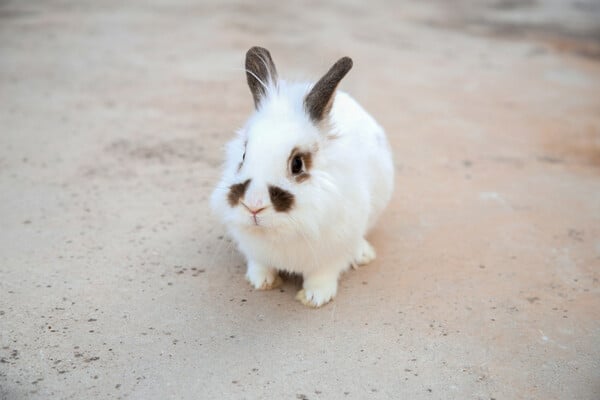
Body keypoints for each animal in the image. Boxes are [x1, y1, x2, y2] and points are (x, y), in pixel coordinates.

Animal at [211, 47, 394, 310]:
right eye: (243, 155)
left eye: (297, 164)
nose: (254, 207)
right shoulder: (254, 249)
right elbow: (260, 263)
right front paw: (261, 281)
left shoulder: (333, 250)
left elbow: (323, 274)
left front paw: (315, 298)